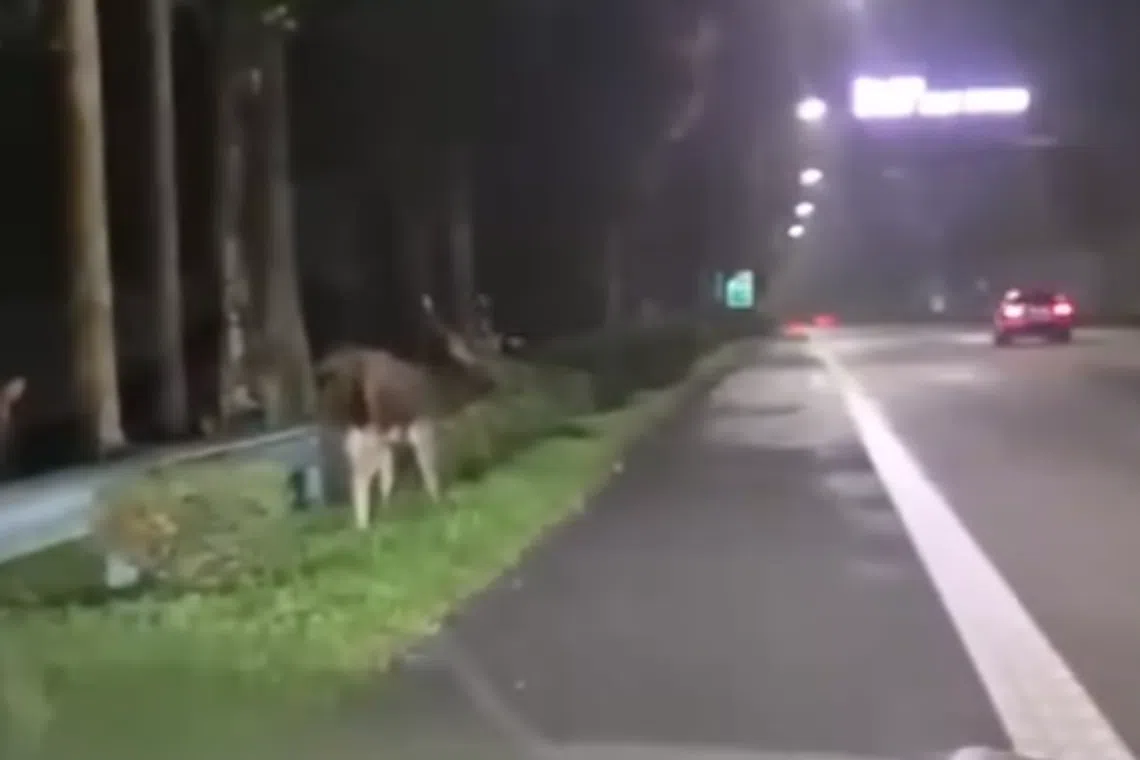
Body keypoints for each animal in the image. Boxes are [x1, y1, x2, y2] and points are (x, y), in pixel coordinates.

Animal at [314, 295, 501, 529]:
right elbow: (428, 469)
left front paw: (389, 512)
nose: (493, 384)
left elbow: (388, 477)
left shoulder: (391, 438)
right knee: (360, 477)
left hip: (349, 433)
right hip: (367, 429)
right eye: (476, 363)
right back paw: (363, 526)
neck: (441, 397)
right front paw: (438, 503)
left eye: (491, 356)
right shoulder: (421, 425)